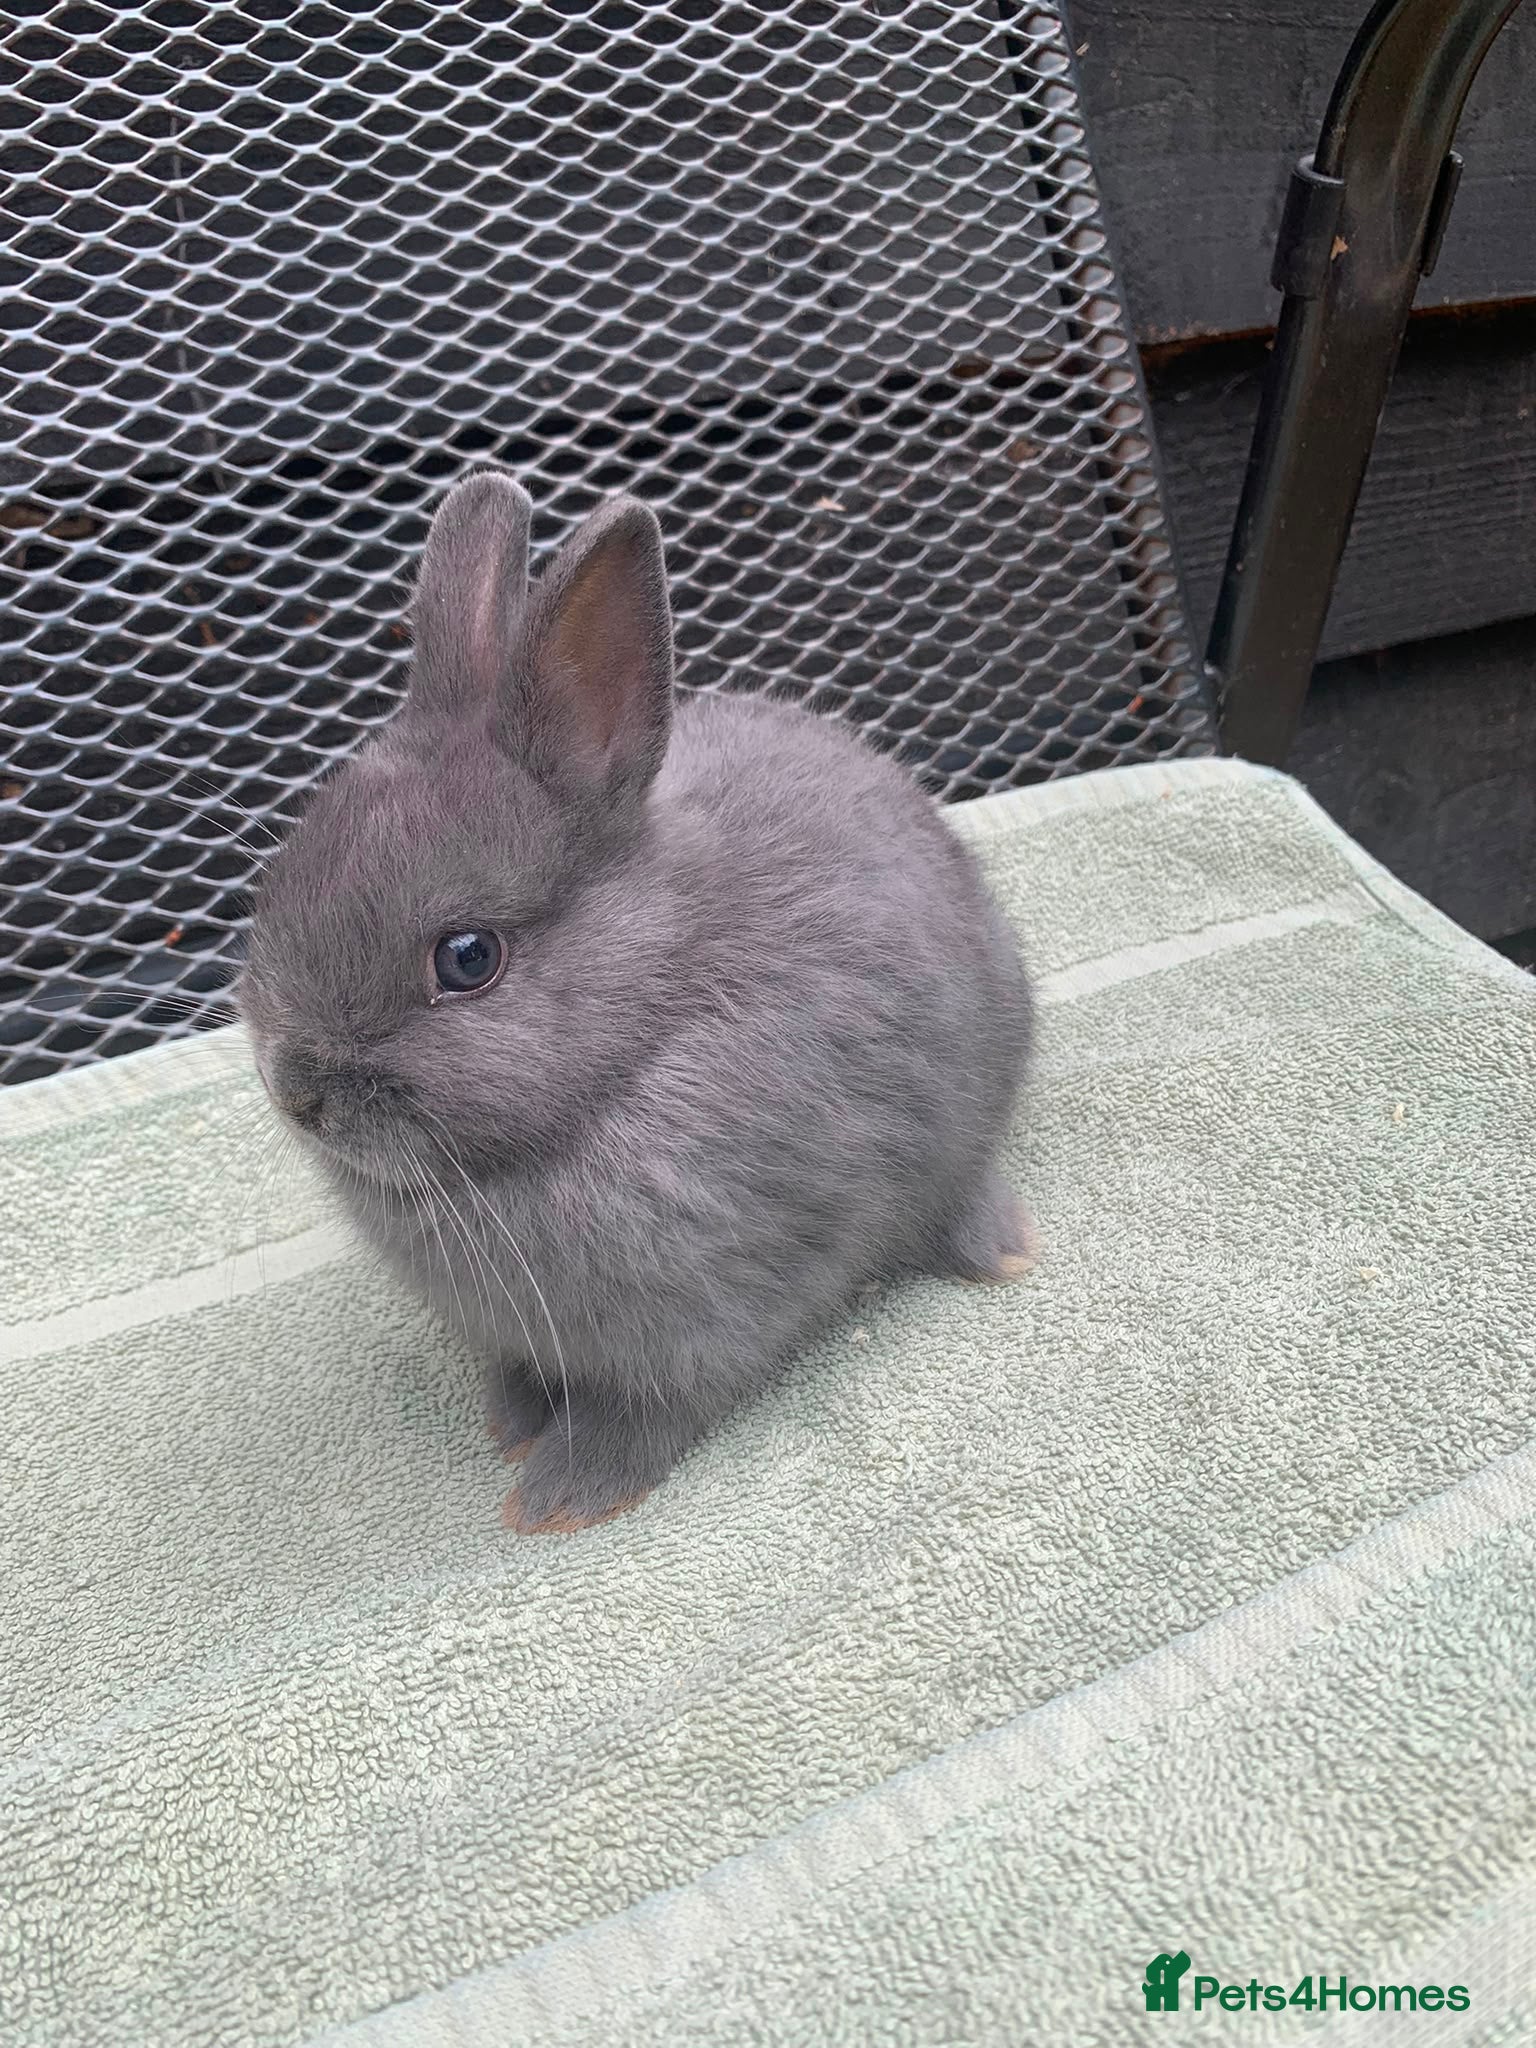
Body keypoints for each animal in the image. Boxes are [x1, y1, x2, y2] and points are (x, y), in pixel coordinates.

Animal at [240, 468, 1034, 1533]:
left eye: (466, 958)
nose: (297, 1092)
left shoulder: (720, 1308)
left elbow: (656, 1407)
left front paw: (560, 1497)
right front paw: (510, 1420)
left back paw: (1002, 1253)